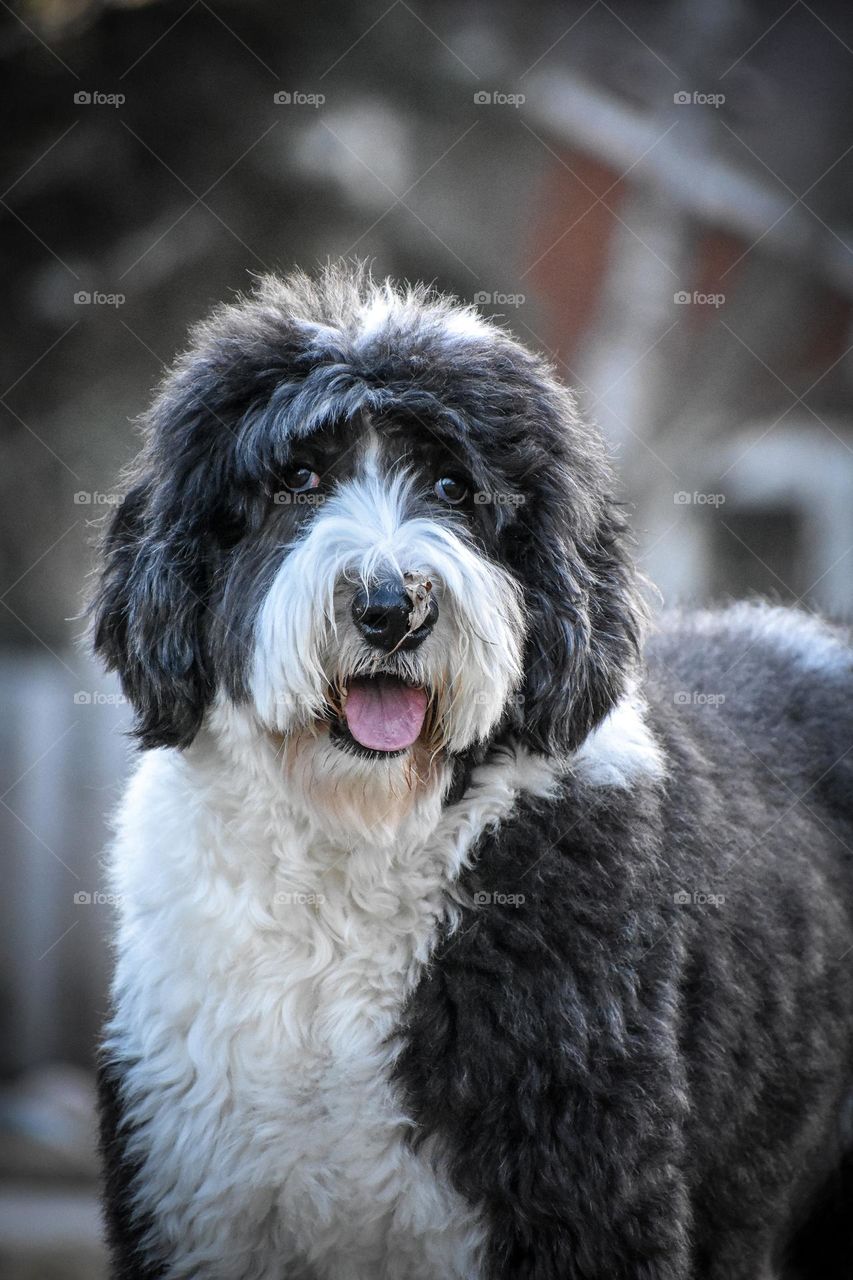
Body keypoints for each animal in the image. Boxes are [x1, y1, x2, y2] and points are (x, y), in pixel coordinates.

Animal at [91, 262, 850, 1280]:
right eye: (297, 477)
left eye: (453, 486)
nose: (390, 605)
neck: (357, 842)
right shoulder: (193, 1190)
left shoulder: (584, 1193)